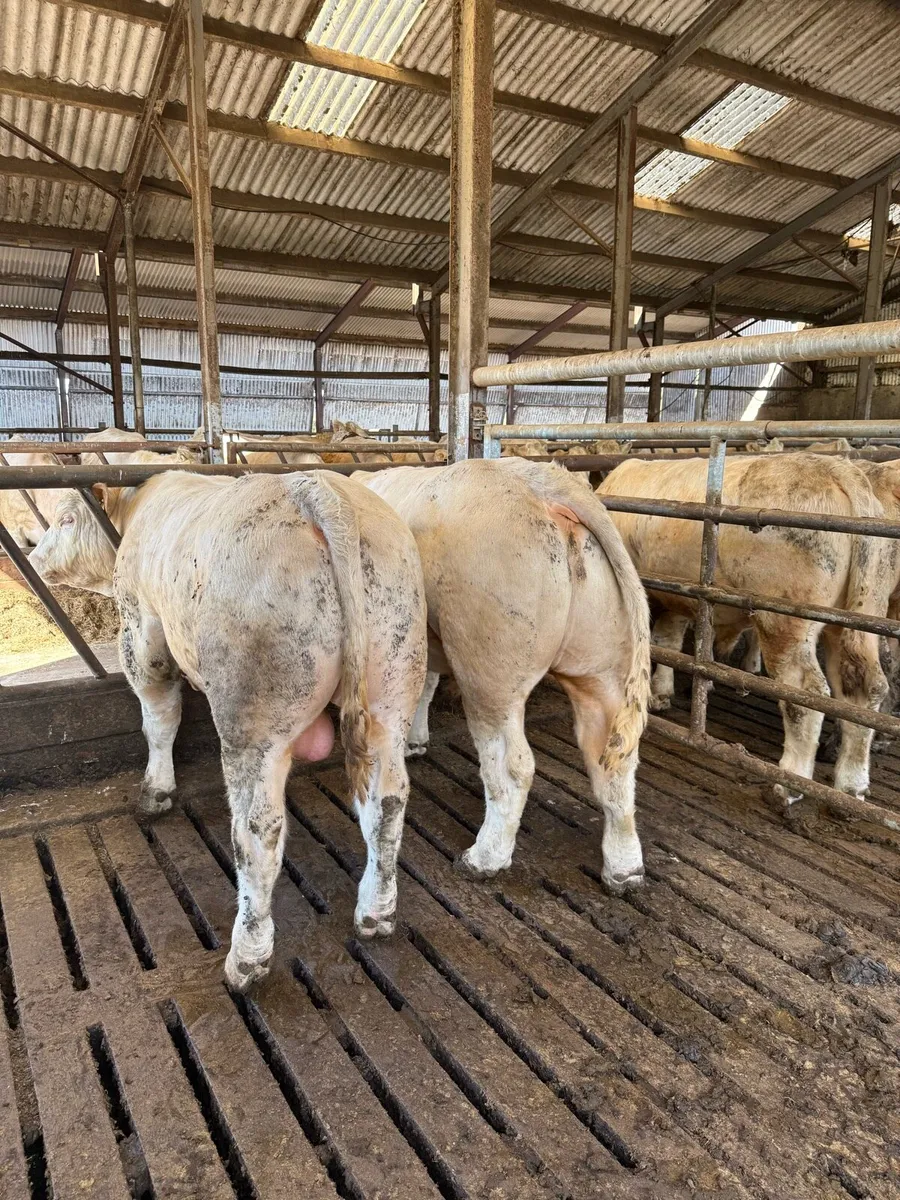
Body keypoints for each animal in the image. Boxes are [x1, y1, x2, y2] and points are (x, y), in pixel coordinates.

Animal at [29, 468, 427, 991]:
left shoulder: (141, 626)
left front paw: (156, 791)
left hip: (251, 716)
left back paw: (247, 956)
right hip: (393, 684)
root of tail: (318, 490)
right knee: (389, 801)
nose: (34, 556)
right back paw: (376, 912)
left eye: (67, 518)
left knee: (257, 830)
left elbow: (159, 715)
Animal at [360, 458, 651, 892]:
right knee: (611, 756)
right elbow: (426, 685)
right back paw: (624, 869)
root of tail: (545, 484)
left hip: (489, 666)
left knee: (512, 766)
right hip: (601, 665)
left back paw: (484, 857)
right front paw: (415, 739)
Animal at [598, 453, 893, 801]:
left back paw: (789, 783)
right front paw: (661, 693)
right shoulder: (678, 596)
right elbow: (668, 641)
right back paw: (851, 783)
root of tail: (840, 470)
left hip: (783, 618)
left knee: (805, 694)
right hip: (860, 613)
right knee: (865, 686)